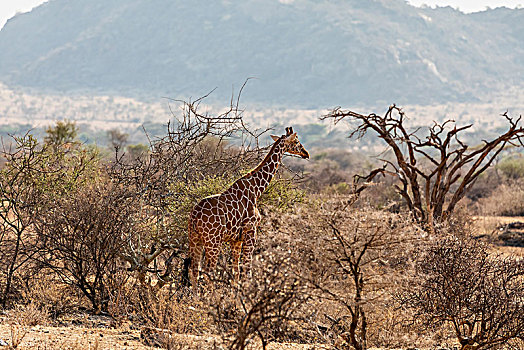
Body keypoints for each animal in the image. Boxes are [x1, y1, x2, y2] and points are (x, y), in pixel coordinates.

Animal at [188, 126, 310, 288]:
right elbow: (247, 271)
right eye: (296, 141)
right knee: (208, 271)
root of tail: (195, 216)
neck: (257, 189)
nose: (306, 153)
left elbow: (236, 273)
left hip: (194, 239)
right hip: (213, 242)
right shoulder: (251, 231)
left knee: (194, 271)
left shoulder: (236, 240)